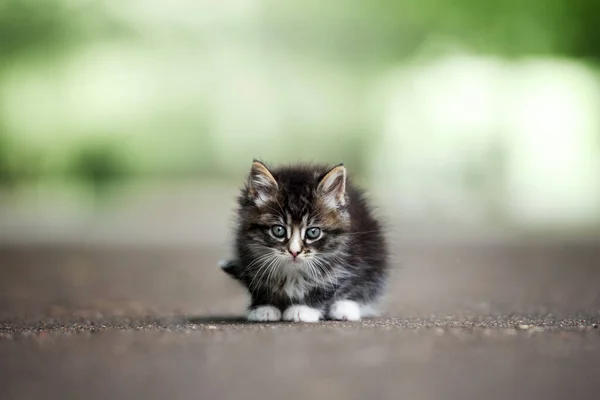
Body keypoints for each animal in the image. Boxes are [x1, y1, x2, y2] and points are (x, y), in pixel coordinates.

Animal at [221, 160, 390, 322]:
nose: (294, 252)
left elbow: (328, 284)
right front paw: (264, 307)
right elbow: (257, 282)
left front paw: (304, 309)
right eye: (278, 230)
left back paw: (344, 308)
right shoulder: (247, 252)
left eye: (313, 232)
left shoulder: (342, 258)